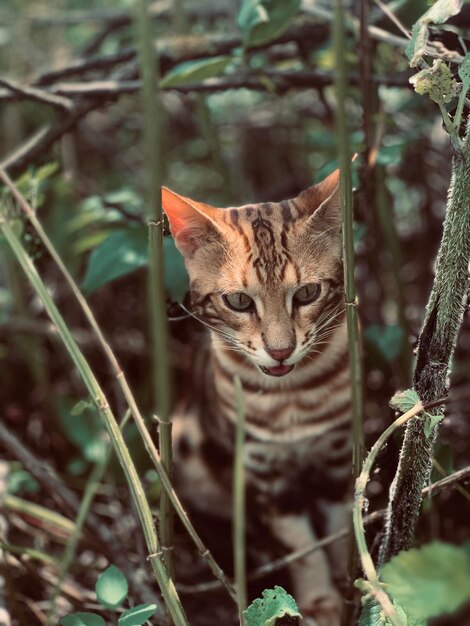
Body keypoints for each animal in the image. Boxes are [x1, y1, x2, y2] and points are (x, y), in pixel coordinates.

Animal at [163, 166, 350, 624]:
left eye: (307, 293)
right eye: (238, 300)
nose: (280, 350)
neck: (293, 399)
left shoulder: (338, 455)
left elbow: (338, 531)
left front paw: (349, 581)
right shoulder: (263, 471)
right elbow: (301, 546)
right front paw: (318, 602)